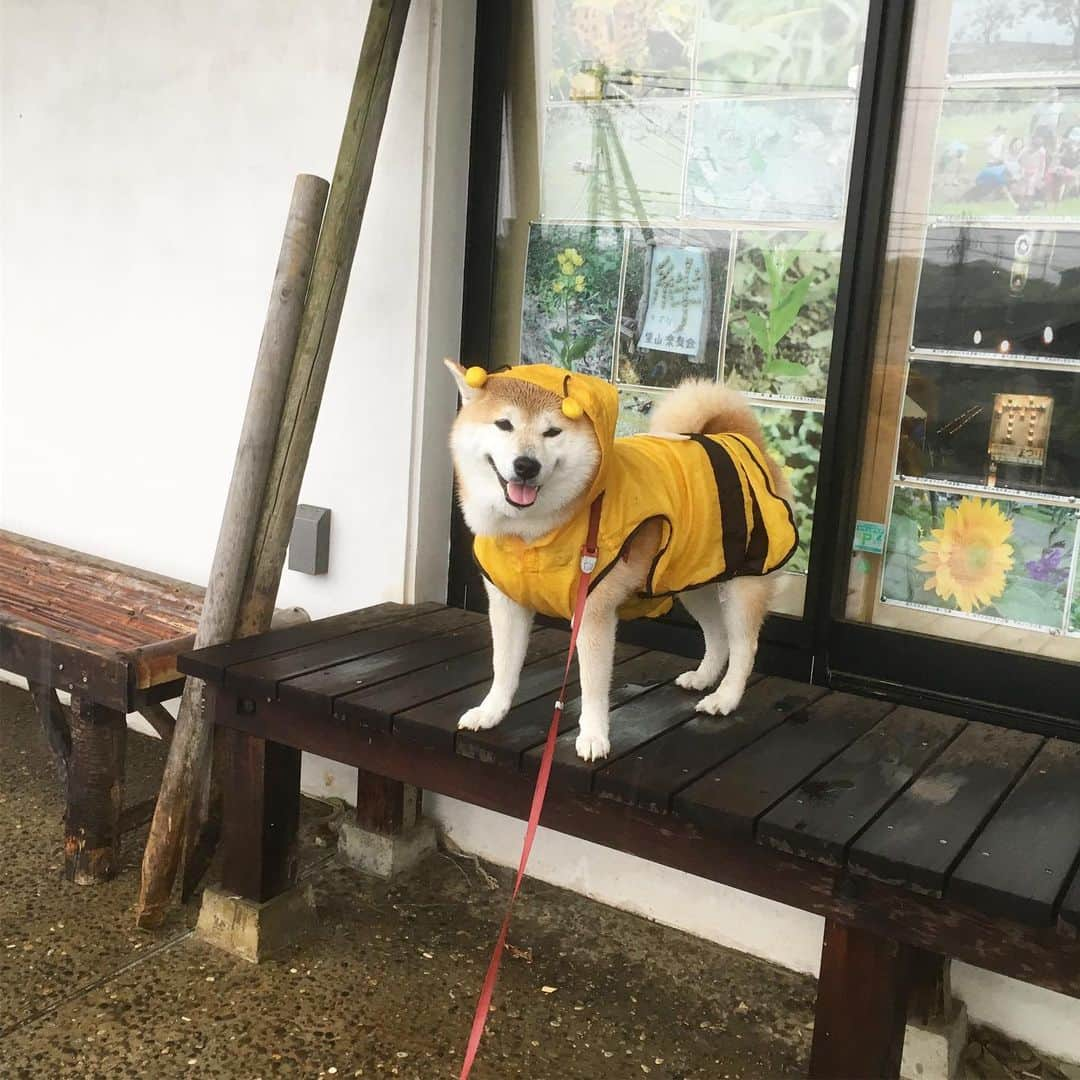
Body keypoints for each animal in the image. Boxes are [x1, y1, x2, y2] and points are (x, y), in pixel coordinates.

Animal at [440, 360, 794, 760]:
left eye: (552, 432)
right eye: (504, 424)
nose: (526, 465)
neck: (531, 533)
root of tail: (741, 439)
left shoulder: (592, 613)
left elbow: (593, 686)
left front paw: (593, 736)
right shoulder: (507, 604)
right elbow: (503, 667)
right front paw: (491, 712)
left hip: (742, 586)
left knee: (744, 646)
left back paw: (726, 698)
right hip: (693, 578)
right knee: (717, 635)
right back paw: (703, 678)